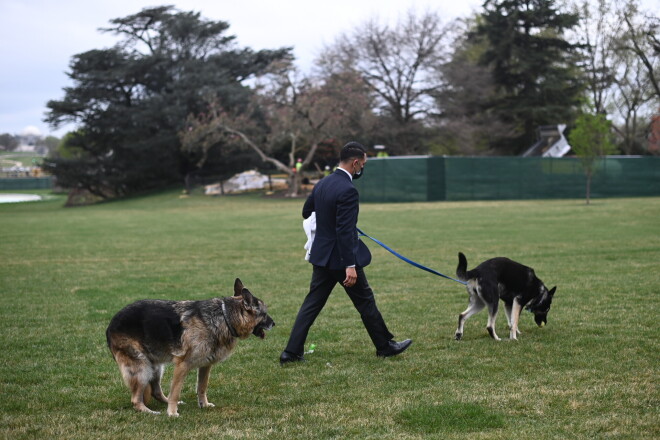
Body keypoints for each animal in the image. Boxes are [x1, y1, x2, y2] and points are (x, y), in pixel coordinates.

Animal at [105, 278, 274, 416]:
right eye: (265, 314)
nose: (274, 323)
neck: (225, 317)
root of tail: (110, 325)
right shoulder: (182, 365)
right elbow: (176, 392)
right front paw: (172, 413)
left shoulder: (206, 365)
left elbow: (202, 387)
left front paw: (204, 405)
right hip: (142, 368)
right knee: (136, 399)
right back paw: (150, 411)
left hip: (156, 368)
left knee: (156, 392)